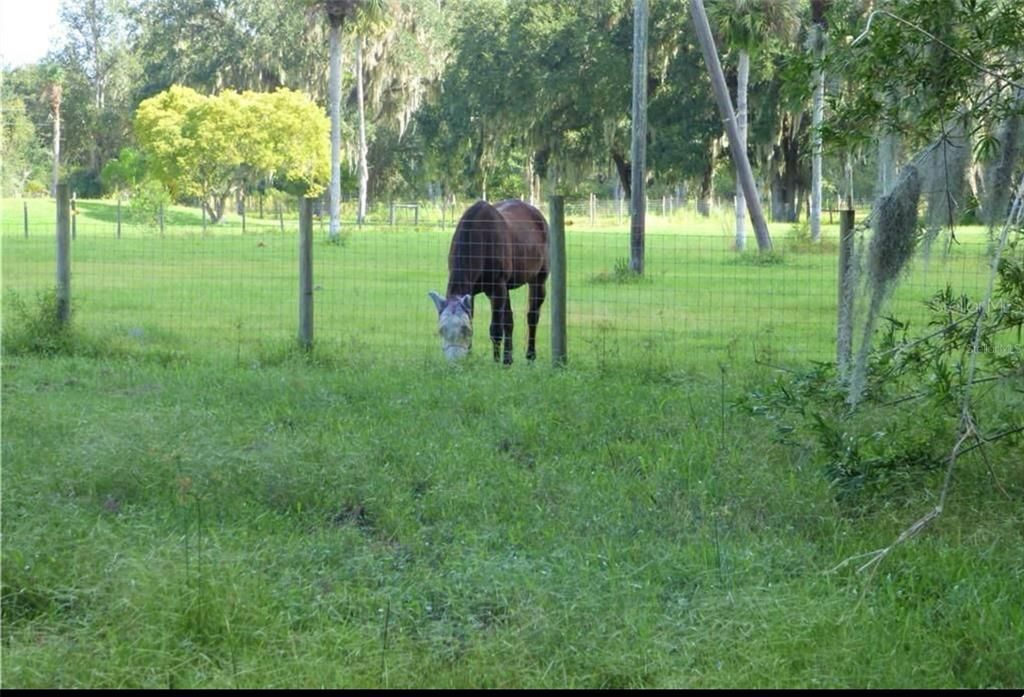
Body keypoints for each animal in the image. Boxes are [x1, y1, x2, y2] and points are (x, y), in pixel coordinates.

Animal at [428, 198, 548, 364]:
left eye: (465, 329)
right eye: (441, 330)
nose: (455, 363)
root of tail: (538, 214)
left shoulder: (497, 288)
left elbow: (495, 329)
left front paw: (495, 363)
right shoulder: (472, 292)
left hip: (538, 280)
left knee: (532, 317)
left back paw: (530, 357)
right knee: (509, 320)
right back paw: (508, 360)